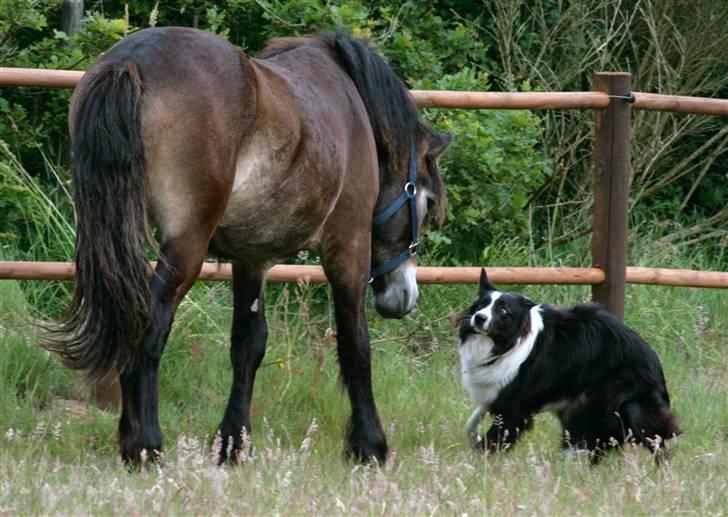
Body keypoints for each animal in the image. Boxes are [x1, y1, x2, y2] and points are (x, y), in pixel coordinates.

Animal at [47, 26, 450, 466]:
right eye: (427, 201)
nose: (404, 297)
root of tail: (133, 59)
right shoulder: (349, 249)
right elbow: (355, 345)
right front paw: (370, 445)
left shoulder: (252, 258)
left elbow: (248, 344)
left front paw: (233, 443)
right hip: (185, 247)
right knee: (149, 327)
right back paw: (145, 445)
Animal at [458, 268, 680, 462]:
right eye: (482, 304)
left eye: (503, 310)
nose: (479, 318)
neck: (509, 342)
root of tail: (653, 358)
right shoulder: (495, 393)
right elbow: (470, 424)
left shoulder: (514, 408)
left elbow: (492, 440)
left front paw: (476, 463)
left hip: (632, 407)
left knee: (657, 441)